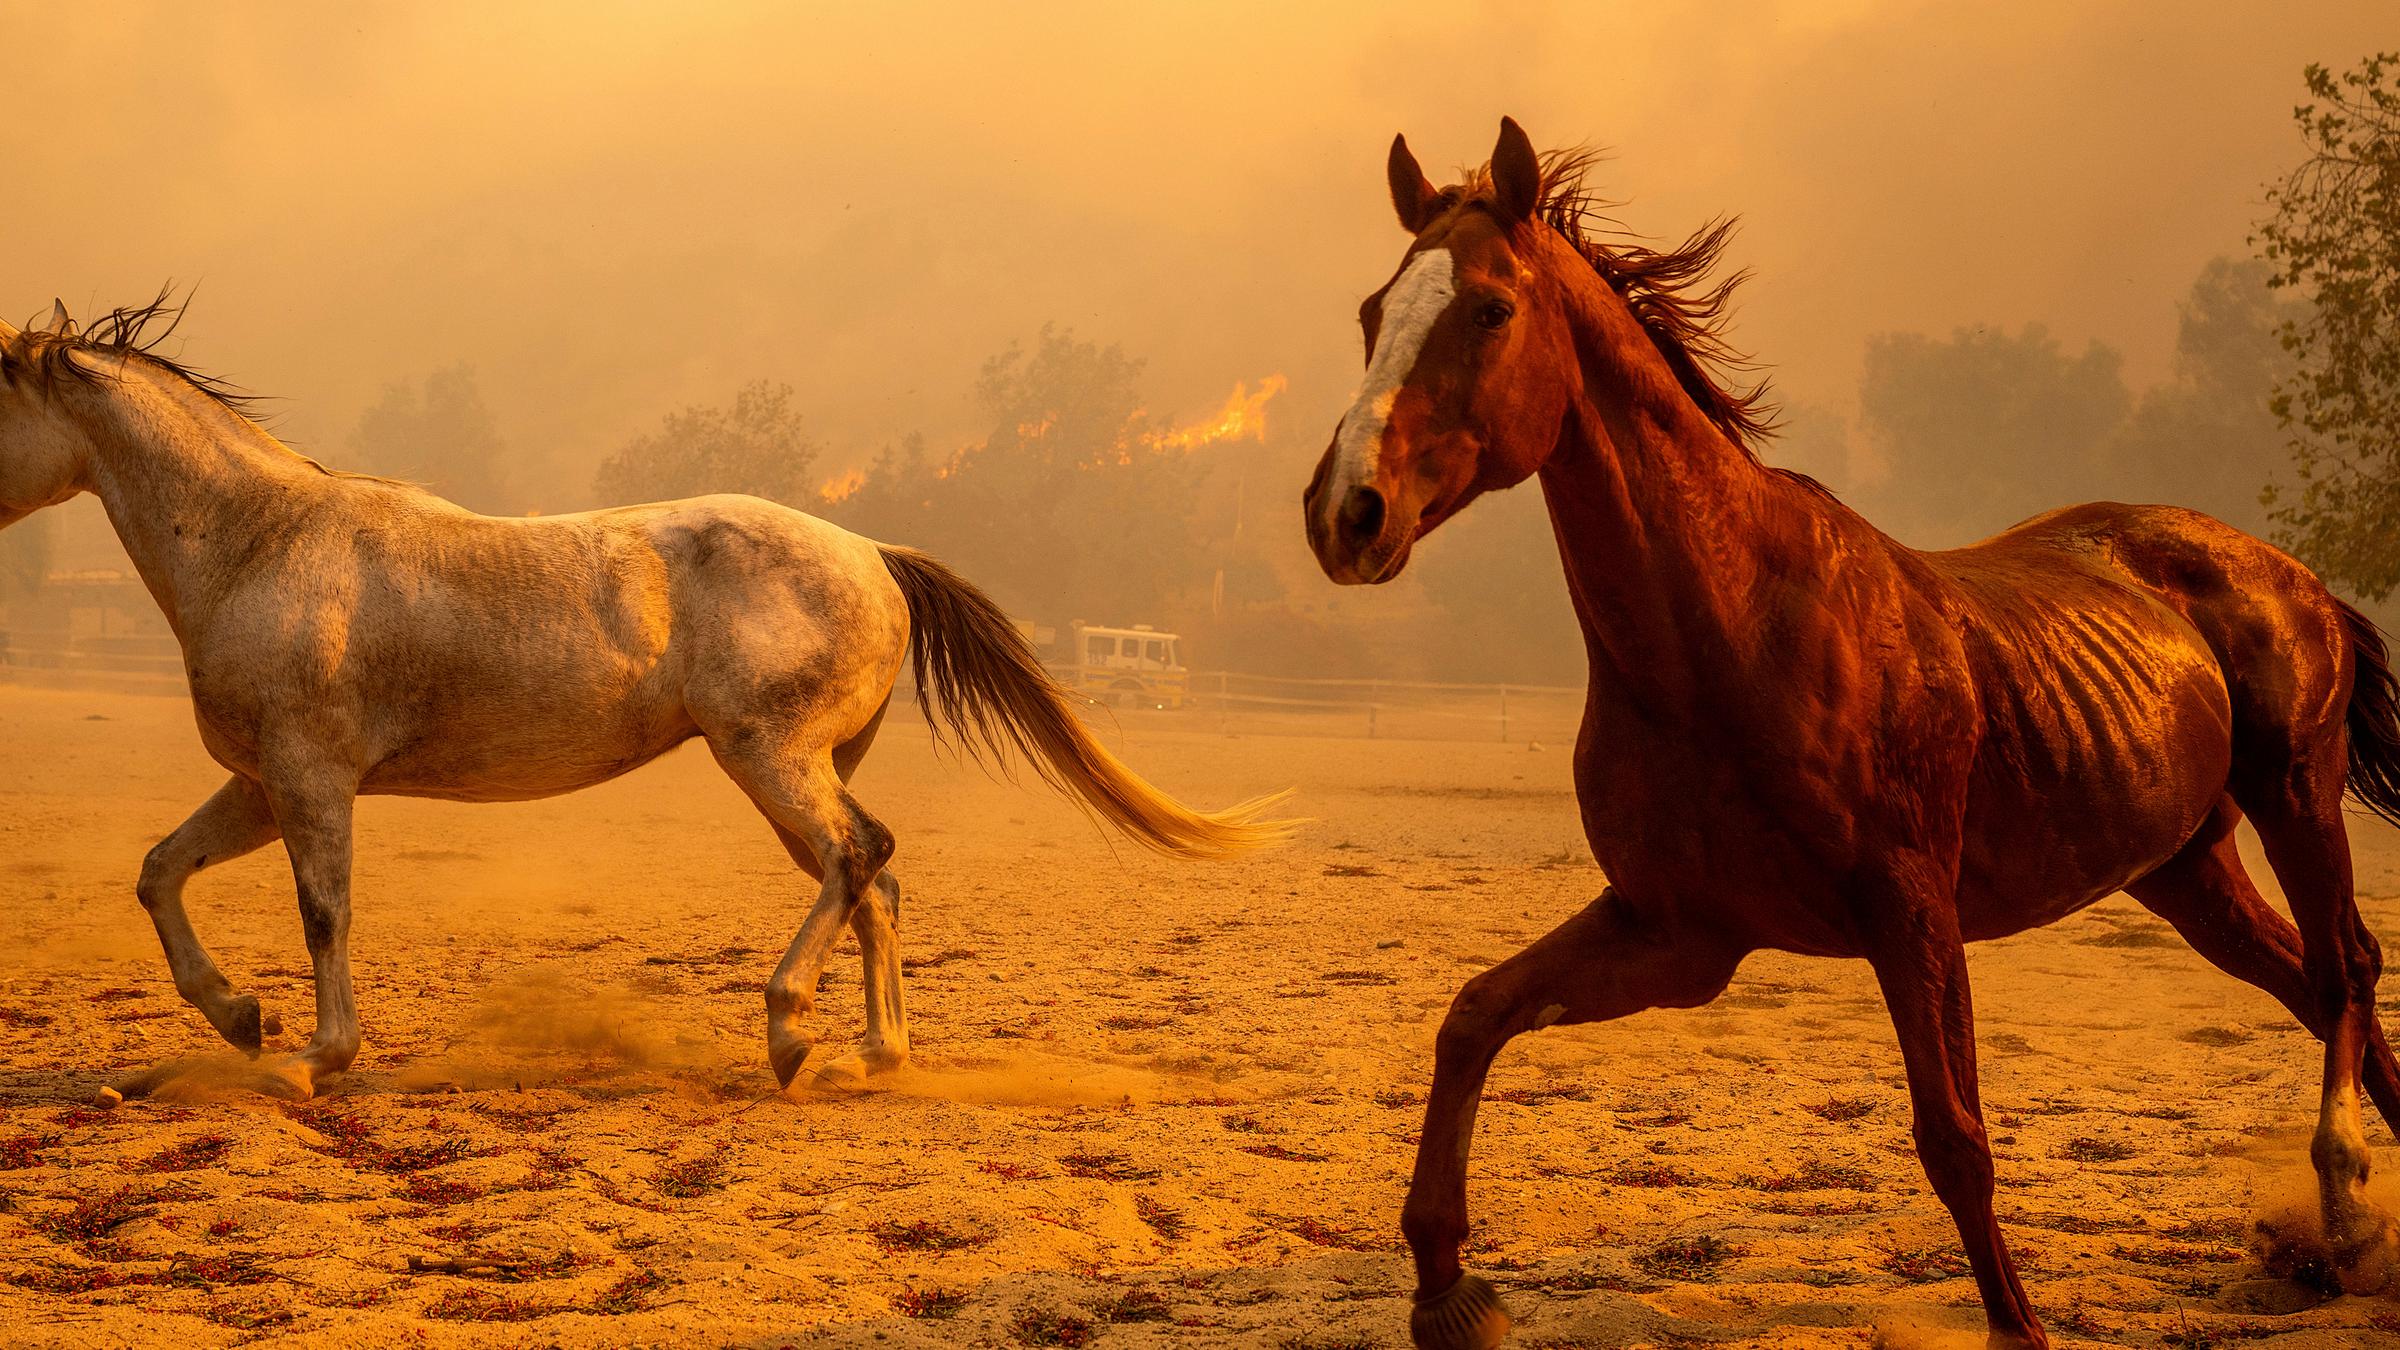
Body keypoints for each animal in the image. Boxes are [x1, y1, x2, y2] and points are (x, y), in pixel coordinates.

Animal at [0, 296, 1294, 1103]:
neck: (262, 543)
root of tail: (872, 553)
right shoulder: (261, 783)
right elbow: (159, 872)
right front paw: (239, 1018)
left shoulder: (311, 779)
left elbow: (327, 914)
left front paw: (312, 1057)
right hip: (796, 770)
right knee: (874, 880)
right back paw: (872, 1055)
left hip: (768, 757)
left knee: (859, 858)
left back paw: (790, 1028)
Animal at [1302, 119, 2400, 1350]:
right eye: (1372, 312)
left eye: (1490, 309)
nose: (1346, 513)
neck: (1734, 627)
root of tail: (2291, 573)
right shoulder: (1677, 933)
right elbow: (1473, 1017)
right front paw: (1448, 1289)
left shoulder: (1909, 911)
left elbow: (1955, 1138)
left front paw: (2018, 1327)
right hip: (2185, 868)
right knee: (2314, 985)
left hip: (2295, 794)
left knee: (2347, 970)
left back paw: (2346, 1200)